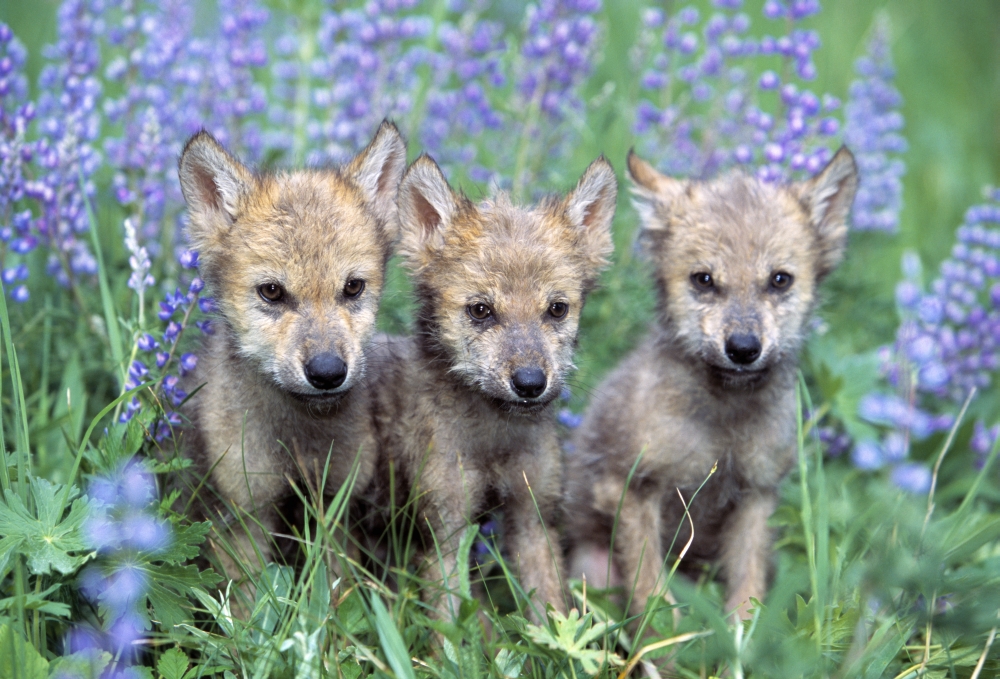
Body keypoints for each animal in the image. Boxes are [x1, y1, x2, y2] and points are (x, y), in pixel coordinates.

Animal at [177, 121, 407, 584]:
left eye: (353, 287)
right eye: (271, 291)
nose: (327, 372)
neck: (300, 441)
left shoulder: (334, 505)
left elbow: (335, 592)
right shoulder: (246, 515)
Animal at [366, 153, 617, 621]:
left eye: (557, 309)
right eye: (480, 310)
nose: (530, 383)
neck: (494, 440)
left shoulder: (533, 521)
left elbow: (552, 617)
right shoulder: (443, 535)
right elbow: (452, 630)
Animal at [564, 147, 858, 620]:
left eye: (779, 280)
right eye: (704, 280)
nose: (743, 348)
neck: (724, 426)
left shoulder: (757, 498)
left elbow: (746, 599)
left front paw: (740, 640)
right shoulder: (630, 490)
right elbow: (655, 603)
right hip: (592, 569)